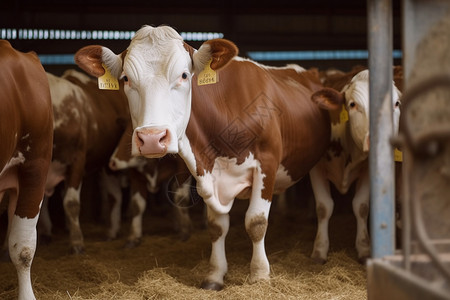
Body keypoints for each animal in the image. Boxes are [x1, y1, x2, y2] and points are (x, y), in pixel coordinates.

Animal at [74, 25, 338, 290]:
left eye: (183, 75)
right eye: (126, 78)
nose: (151, 138)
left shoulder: (267, 163)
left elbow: (256, 222)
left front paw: (260, 275)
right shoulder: (206, 172)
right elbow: (216, 226)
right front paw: (215, 275)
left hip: (320, 159)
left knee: (324, 207)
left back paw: (319, 251)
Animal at [310, 67, 400, 262]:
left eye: (396, 103)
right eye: (352, 105)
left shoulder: (367, 169)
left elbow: (361, 206)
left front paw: (364, 248)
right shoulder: (316, 168)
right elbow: (323, 207)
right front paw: (319, 249)